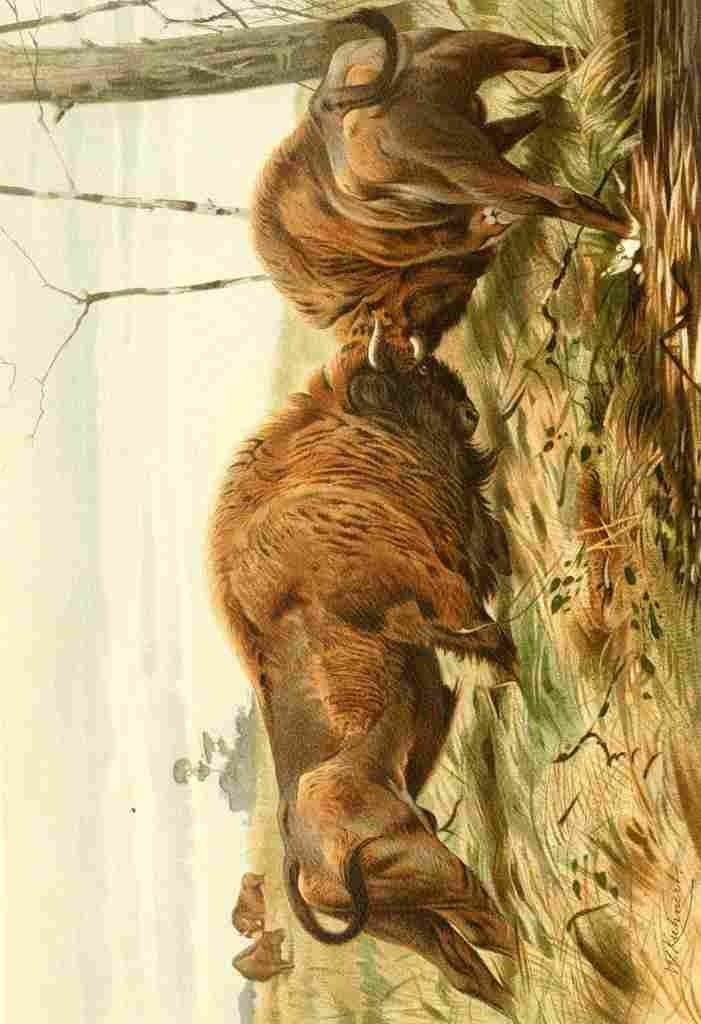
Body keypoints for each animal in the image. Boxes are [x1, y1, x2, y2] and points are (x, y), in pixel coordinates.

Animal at [209, 340, 518, 1016]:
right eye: (407, 380)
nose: (467, 408)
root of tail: (299, 862)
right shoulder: (439, 592)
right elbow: (485, 635)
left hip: (398, 919)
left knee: (469, 959)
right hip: (428, 875)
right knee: (487, 923)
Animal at [252, 8, 632, 370]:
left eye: (399, 311)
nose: (418, 348)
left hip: (476, 96)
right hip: (471, 160)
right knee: (553, 193)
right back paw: (625, 229)